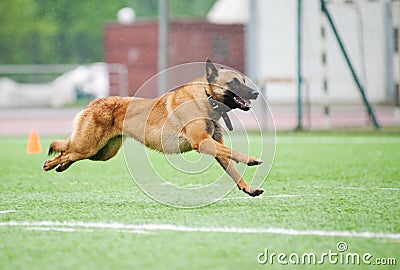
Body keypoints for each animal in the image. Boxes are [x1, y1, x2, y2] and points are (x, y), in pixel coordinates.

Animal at [43, 59, 264, 196]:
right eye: (234, 82)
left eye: (243, 81)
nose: (256, 93)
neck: (206, 97)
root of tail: (94, 102)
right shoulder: (202, 142)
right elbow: (233, 151)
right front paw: (251, 159)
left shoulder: (213, 144)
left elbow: (233, 169)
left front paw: (248, 188)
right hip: (89, 146)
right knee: (66, 152)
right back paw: (50, 164)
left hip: (102, 153)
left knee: (69, 153)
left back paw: (61, 166)